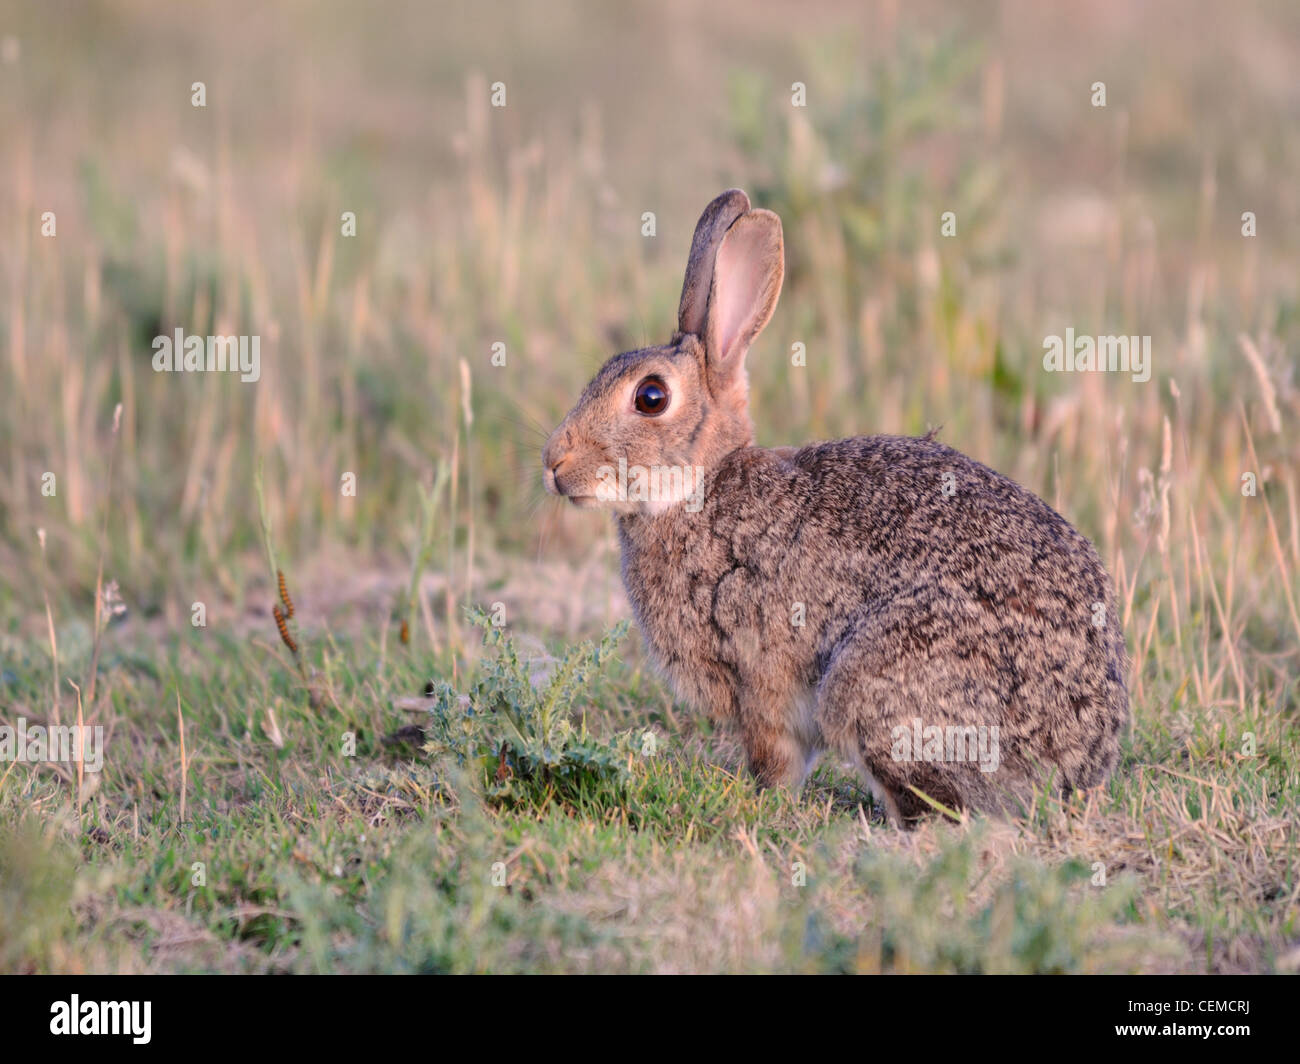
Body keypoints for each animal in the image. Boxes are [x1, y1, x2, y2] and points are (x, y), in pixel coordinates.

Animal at [542, 189, 1128, 825]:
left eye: (650, 397)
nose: (553, 462)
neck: (701, 486)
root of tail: (1080, 757)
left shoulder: (760, 678)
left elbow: (775, 756)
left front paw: (764, 799)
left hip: (873, 679)